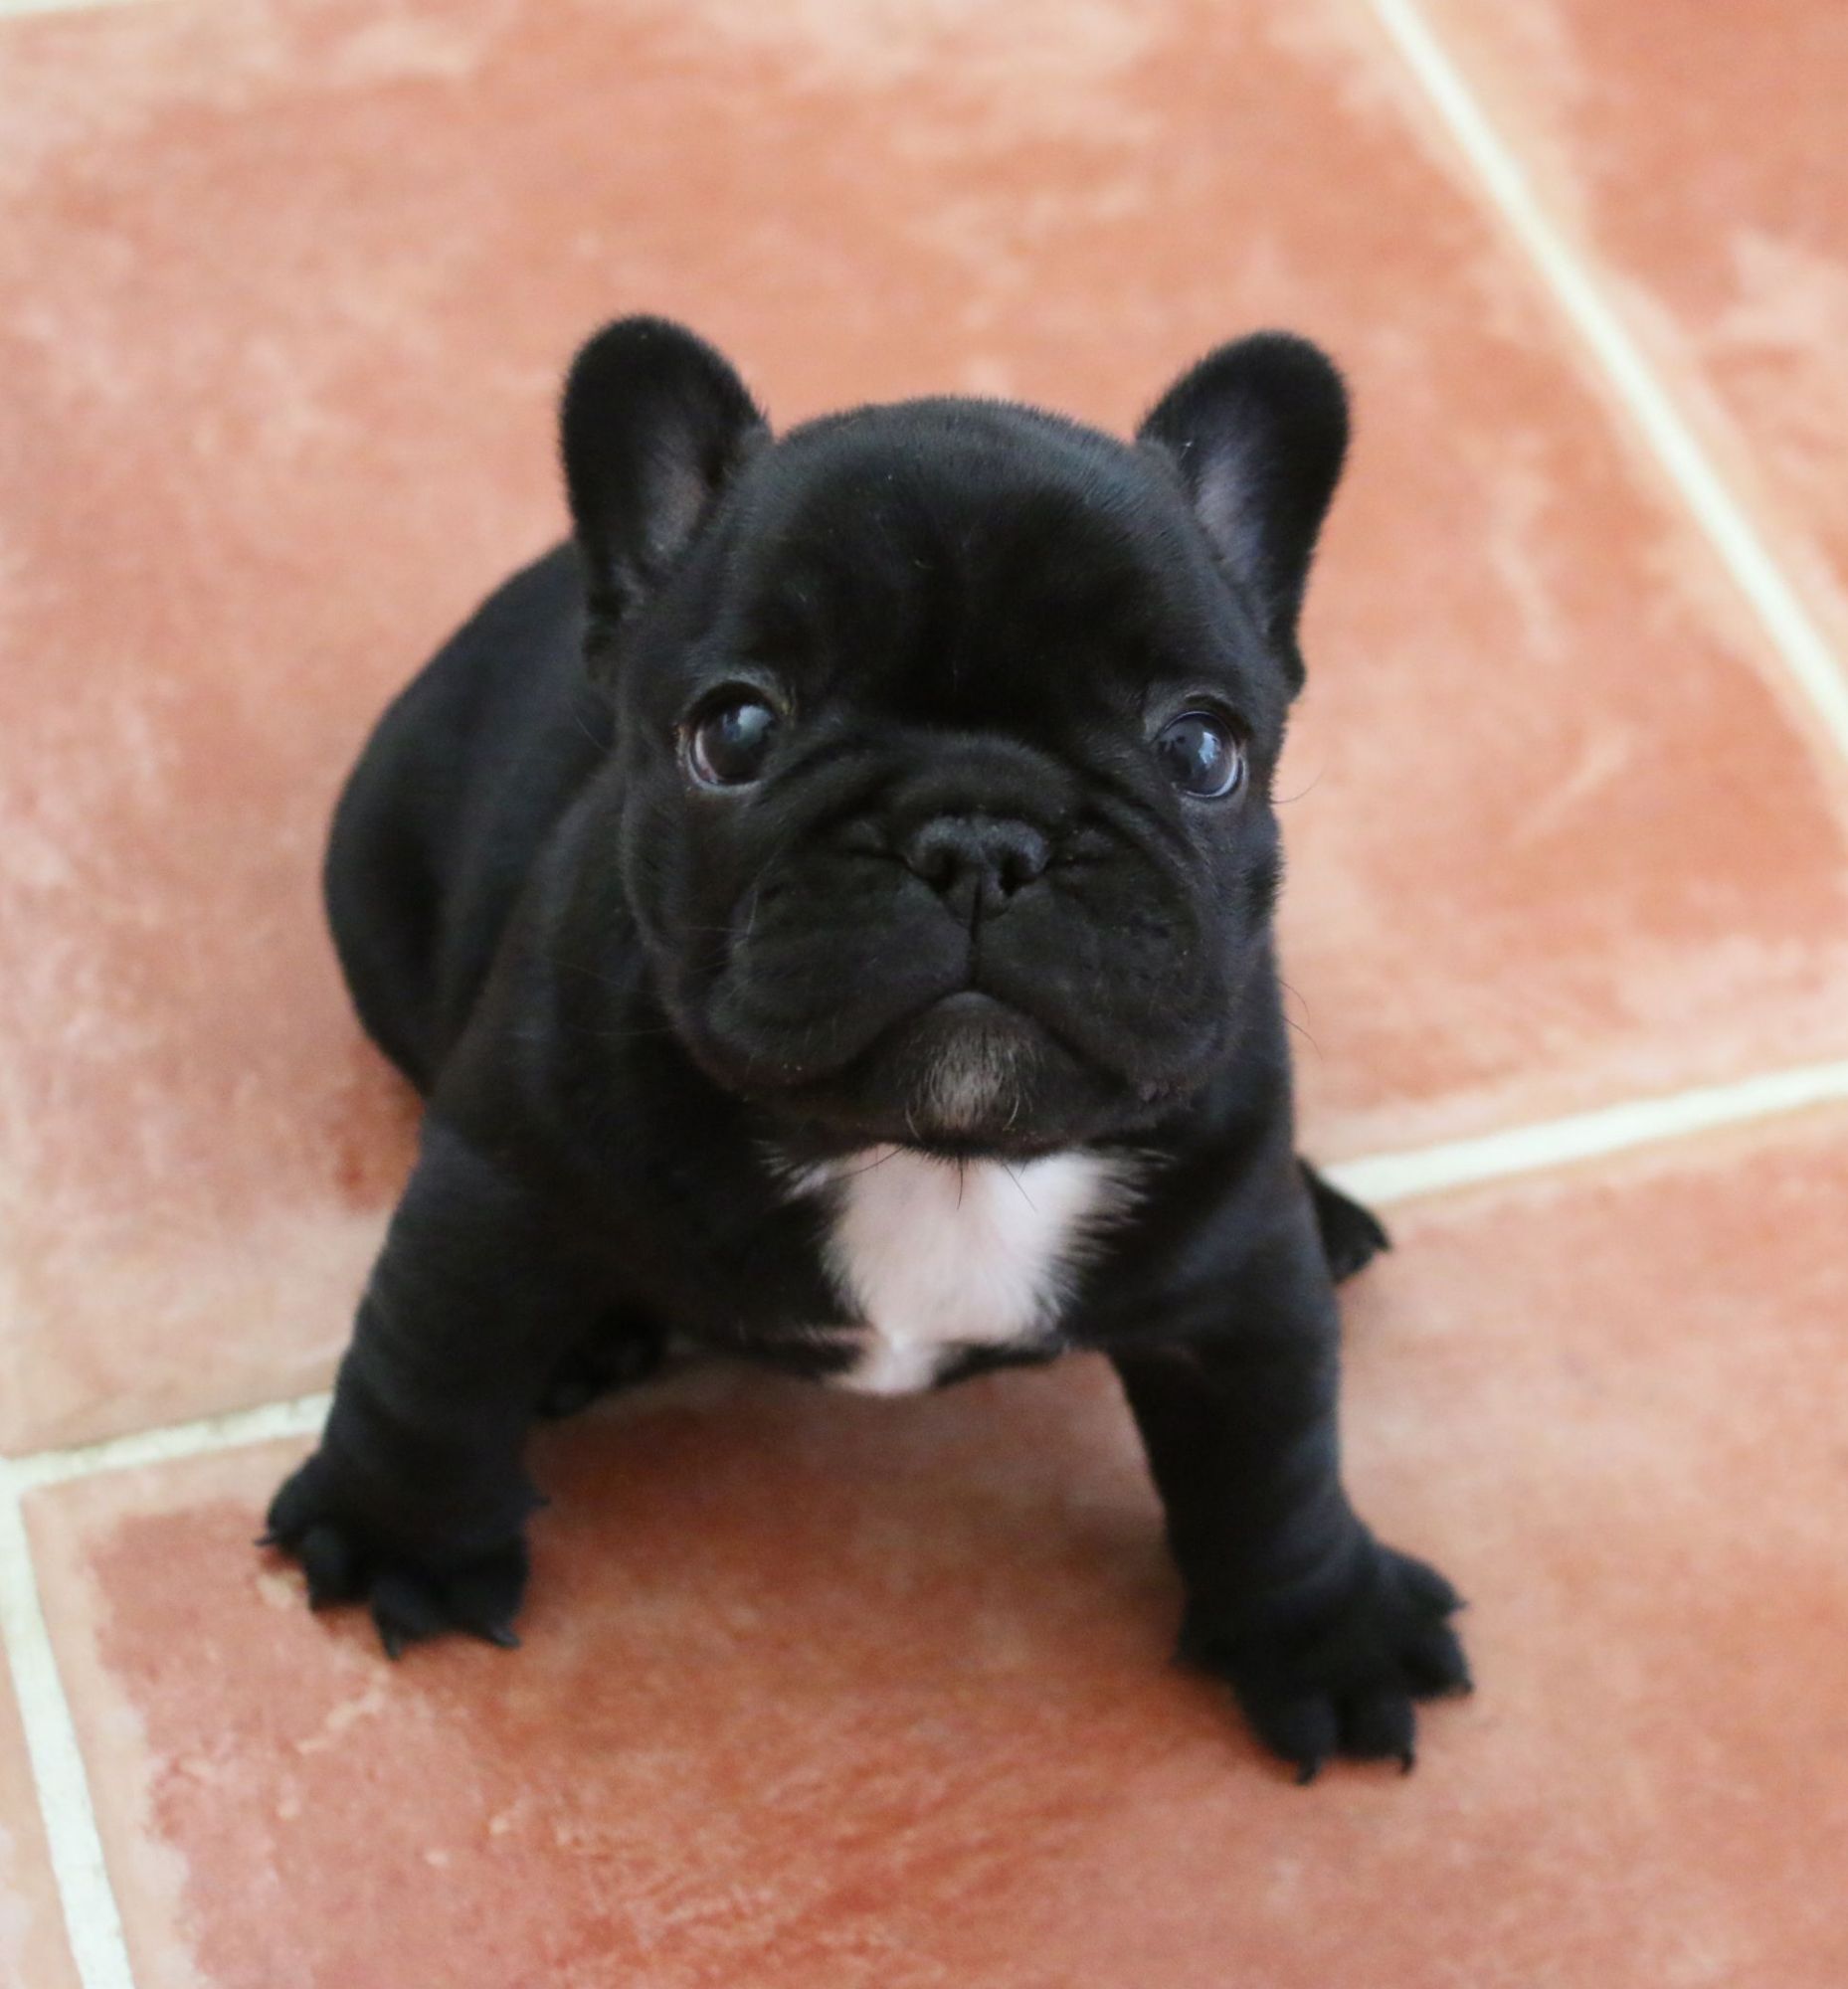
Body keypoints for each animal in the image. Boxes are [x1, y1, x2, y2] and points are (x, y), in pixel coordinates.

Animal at [264, 316, 1467, 1780]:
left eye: (1200, 747)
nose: (978, 838)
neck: (932, 1150)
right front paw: (399, 1536)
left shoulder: (1244, 1291)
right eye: (734, 730)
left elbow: (1276, 1471)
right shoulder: (500, 1175)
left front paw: (1326, 1634)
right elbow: (430, 1355)